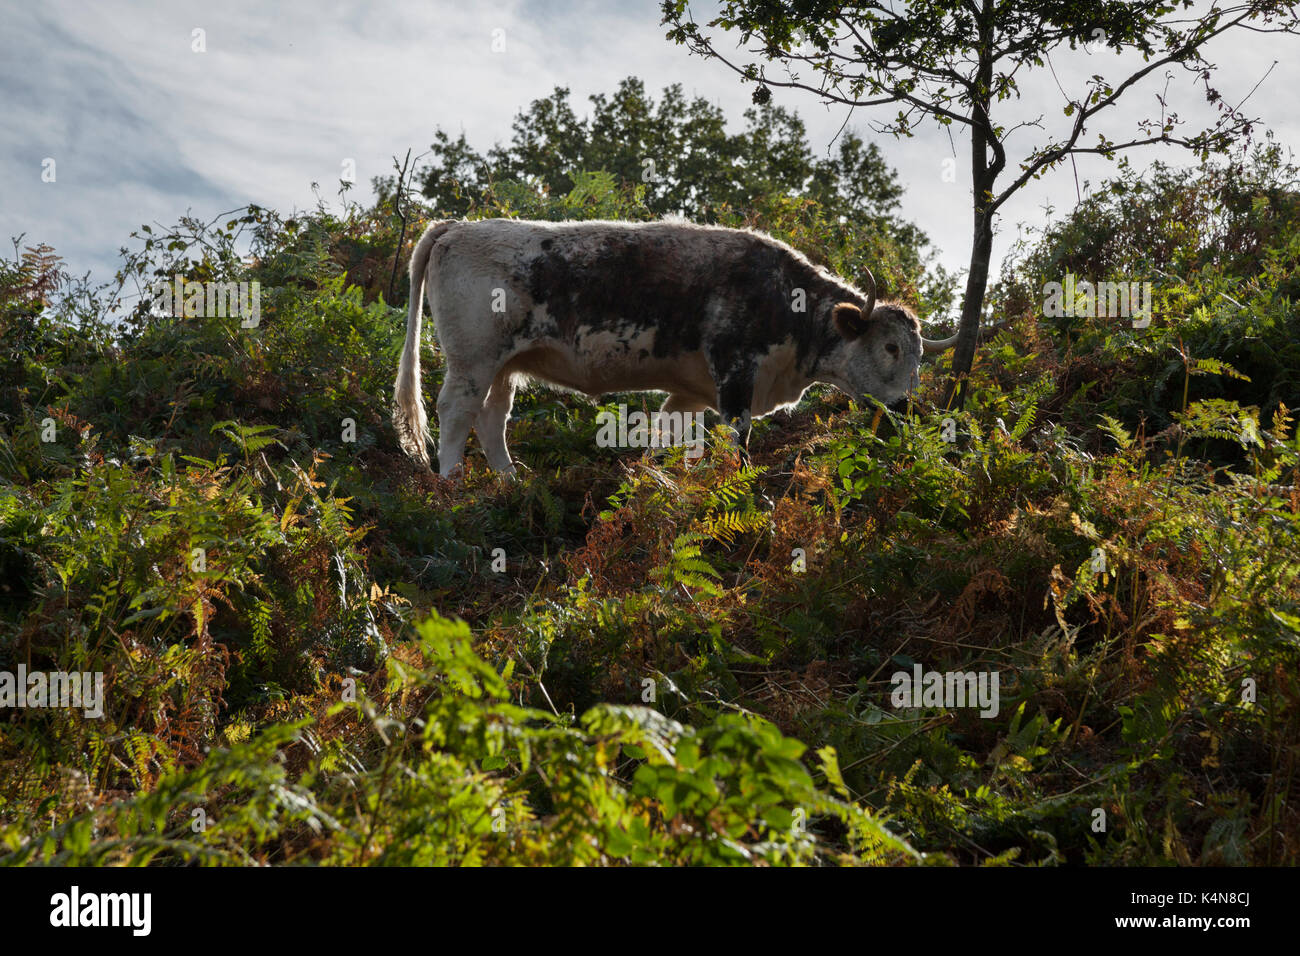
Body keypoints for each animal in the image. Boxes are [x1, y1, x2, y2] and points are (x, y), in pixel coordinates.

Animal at [393, 218, 958, 476]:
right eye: (890, 347)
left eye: (920, 355)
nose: (908, 406)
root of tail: (458, 226)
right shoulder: (735, 372)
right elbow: (737, 438)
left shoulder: (691, 391)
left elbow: (675, 437)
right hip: (473, 358)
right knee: (456, 411)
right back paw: (451, 480)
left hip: (506, 365)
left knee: (493, 418)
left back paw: (509, 481)